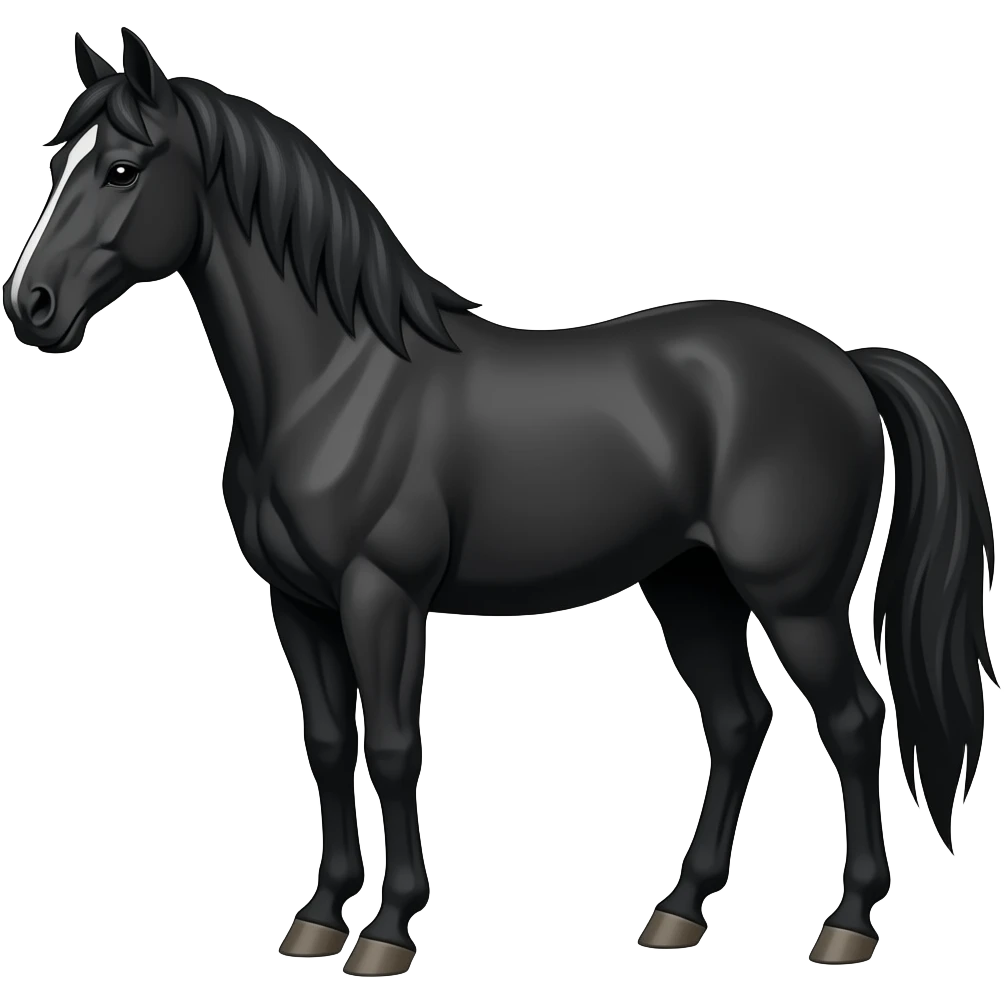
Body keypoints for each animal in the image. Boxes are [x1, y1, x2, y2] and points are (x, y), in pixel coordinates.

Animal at [4, 28, 995, 974]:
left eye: (123, 168)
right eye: (55, 160)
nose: (30, 306)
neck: (337, 380)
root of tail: (844, 364)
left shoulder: (382, 595)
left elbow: (393, 745)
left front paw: (388, 932)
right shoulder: (298, 603)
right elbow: (325, 744)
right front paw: (319, 917)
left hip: (797, 600)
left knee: (854, 722)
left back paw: (847, 925)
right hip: (690, 584)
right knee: (737, 721)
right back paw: (679, 913)